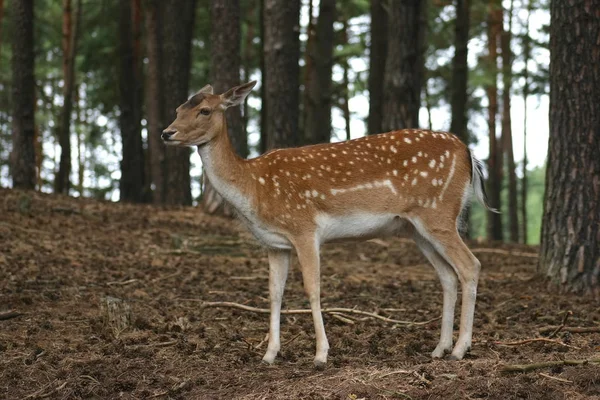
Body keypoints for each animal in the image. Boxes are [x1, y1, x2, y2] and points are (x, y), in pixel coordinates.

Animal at [162, 82, 494, 368]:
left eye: (205, 110)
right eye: (177, 108)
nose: (167, 132)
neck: (254, 188)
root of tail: (468, 153)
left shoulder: (304, 228)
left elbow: (313, 288)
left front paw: (321, 355)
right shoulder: (275, 244)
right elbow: (274, 293)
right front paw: (269, 354)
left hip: (439, 213)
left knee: (471, 266)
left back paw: (460, 349)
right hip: (418, 229)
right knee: (448, 276)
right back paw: (440, 349)